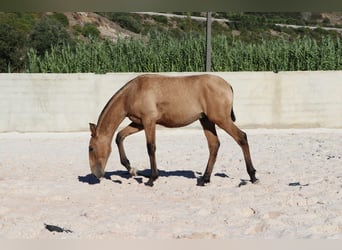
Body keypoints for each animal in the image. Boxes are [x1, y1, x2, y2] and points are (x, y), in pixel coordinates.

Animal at [88, 73, 256, 187]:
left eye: (91, 148)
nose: (96, 175)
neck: (133, 92)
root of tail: (227, 85)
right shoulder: (139, 123)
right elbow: (119, 137)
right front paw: (132, 169)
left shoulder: (149, 121)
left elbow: (150, 147)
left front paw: (151, 179)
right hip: (206, 120)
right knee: (214, 145)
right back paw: (204, 179)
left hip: (221, 119)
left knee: (241, 137)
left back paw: (253, 176)